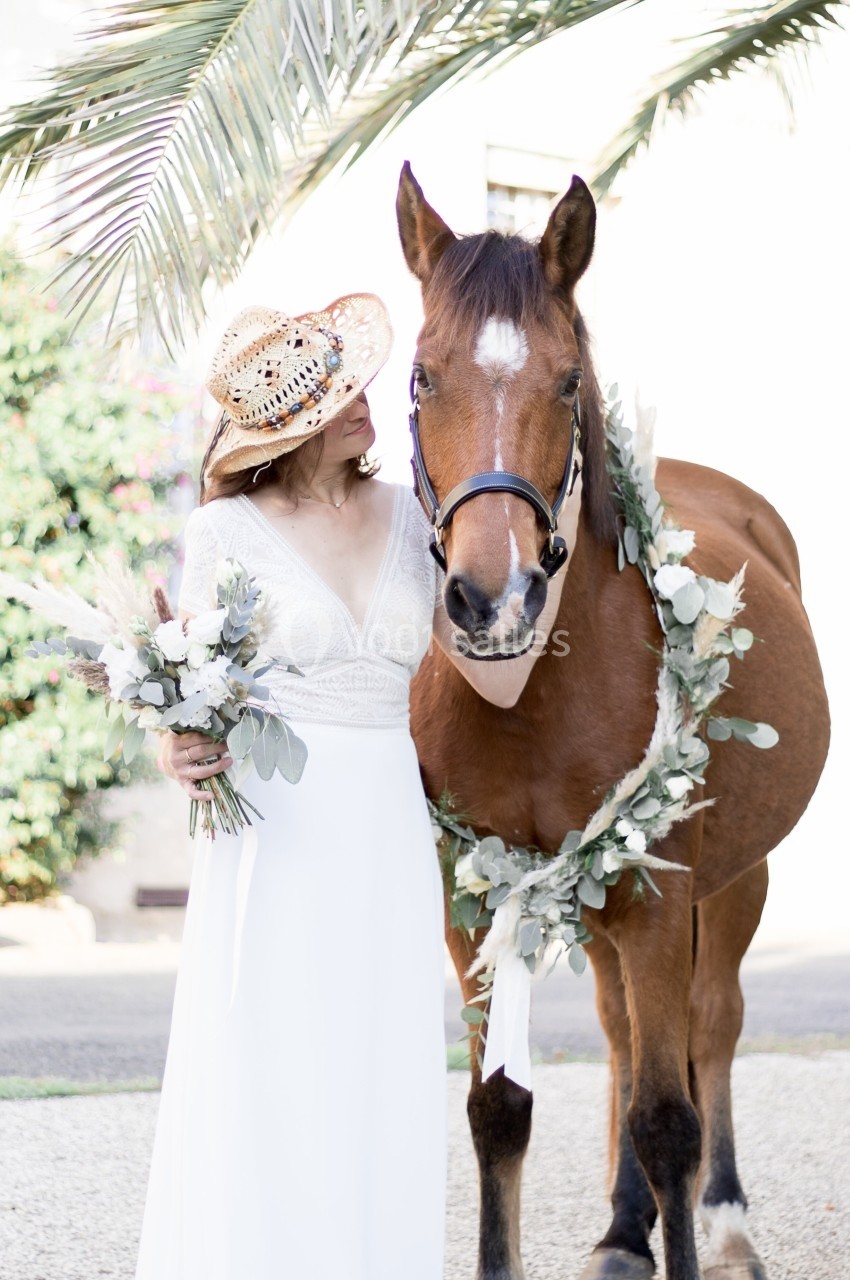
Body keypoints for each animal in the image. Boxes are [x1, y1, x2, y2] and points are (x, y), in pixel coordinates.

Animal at [397, 162, 830, 1280]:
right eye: (421, 377)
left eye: (563, 381)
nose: (490, 598)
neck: (534, 694)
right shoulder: (475, 894)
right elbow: (499, 1108)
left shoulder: (656, 891)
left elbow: (670, 1117)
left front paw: (692, 1222)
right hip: (592, 897)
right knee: (626, 1034)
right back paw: (621, 1229)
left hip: (725, 882)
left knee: (709, 1028)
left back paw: (725, 1222)